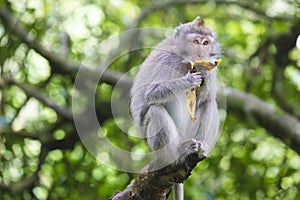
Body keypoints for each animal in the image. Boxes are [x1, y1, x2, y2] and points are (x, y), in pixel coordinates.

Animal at [130, 16, 221, 199]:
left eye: (206, 43)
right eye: (196, 41)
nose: (201, 53)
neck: (186, 61)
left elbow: (205, 97)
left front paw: (204, 71)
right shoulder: (167, 61)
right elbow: (150, 94)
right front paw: (188, 81)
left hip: (189, 133)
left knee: (210, 102)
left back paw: (200, 148)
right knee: (155, 110)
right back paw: (178, 154)